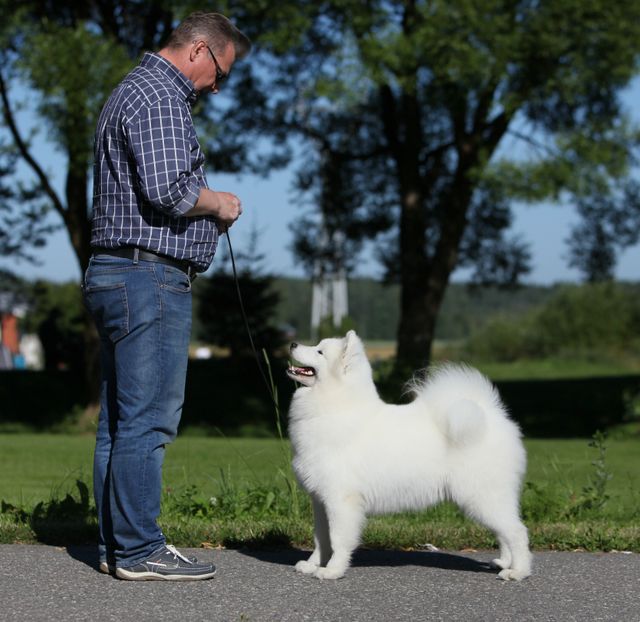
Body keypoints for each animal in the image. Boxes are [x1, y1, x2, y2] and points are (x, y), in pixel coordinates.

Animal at [288, 334, 532, 584]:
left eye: (320, 352)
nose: (293, 344)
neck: (336, 406)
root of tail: (491, 416)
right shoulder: (320, 500)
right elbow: (321, 539)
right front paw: (311, 565)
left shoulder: (341, 500)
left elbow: (337, 539)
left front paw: (333, 570)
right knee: (504, 533)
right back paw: (504, 562)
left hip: (483, 496)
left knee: (517, 532)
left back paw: (518, 571)